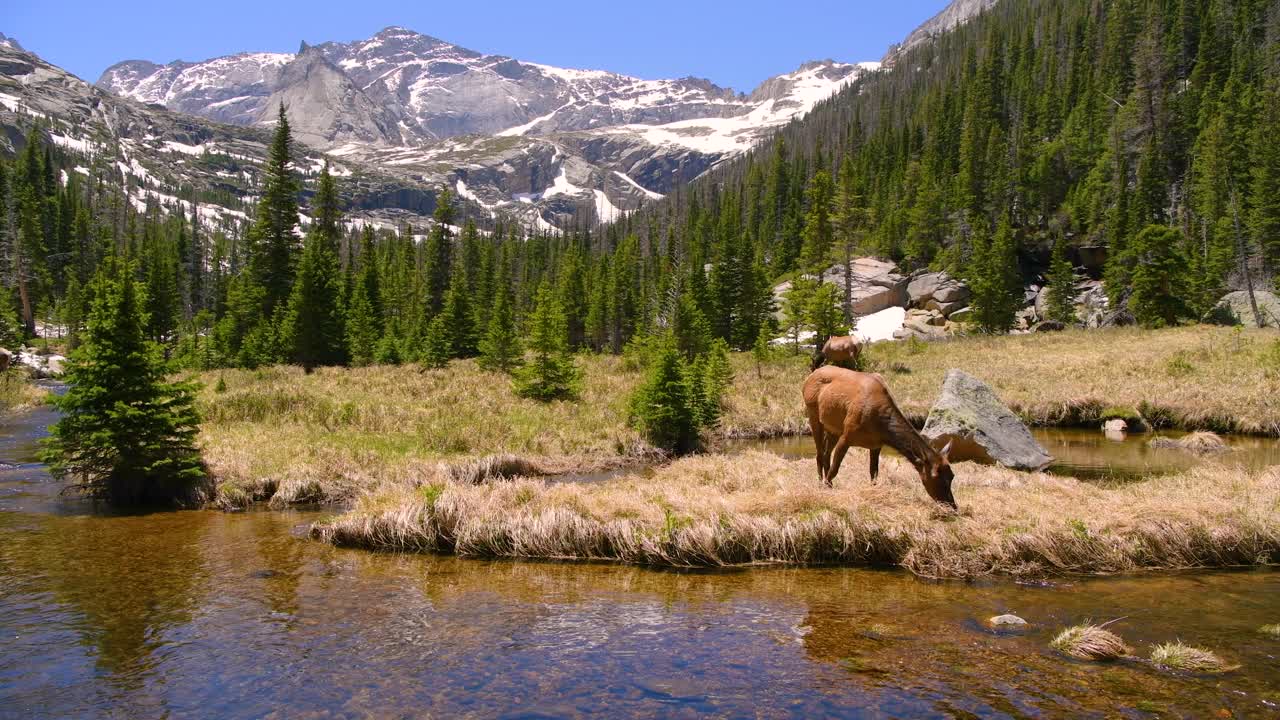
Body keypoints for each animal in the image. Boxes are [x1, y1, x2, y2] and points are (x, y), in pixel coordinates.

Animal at [803, 363, 957, 504]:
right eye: (936, 476)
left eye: (952, 476)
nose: (952, 505)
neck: (881, 428)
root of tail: (809, 377)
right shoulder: (847, 435)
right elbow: (835, 469)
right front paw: (827, 488)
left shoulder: (876, 444)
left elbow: (874, 472)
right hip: (813, 413)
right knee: (819, 454)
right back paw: (820, 482)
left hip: (833, 427)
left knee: (826, 453)